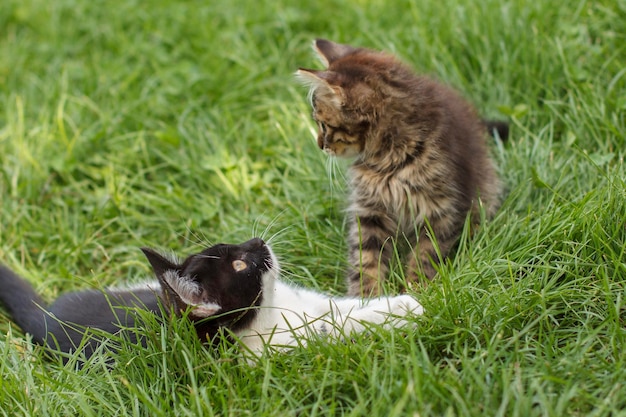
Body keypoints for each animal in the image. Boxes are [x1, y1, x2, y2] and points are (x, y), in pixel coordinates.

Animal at [0, 237, 422, 360]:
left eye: (236, 246)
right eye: (240, 264)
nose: (258, 240)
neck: (271, 307)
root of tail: (45, 317)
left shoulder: (312, 303)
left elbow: (341, 307)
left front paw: (403, 301)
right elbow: (335, 328)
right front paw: (407, 313)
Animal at [294, 39, 504, 296]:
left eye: (323, 125)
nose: (320, 145)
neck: (387, 159)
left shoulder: (441, 210)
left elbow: (426, 254)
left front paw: (418, 290)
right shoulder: (369, 209)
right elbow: (366, 258)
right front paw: (366, 297)